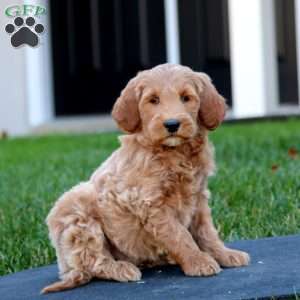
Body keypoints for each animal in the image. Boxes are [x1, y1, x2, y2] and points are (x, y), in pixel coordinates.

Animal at [41, 63, 248, 292]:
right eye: (153, 100)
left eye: (186, 98)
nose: (172, 124)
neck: (174, 154)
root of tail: (66, 268)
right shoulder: (150, 204)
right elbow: (180, 235)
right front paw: (198, 261)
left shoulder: (198, 198)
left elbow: (206, 232)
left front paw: (224, 254)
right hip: (78, 212)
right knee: (94, 262)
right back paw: (121, 268)